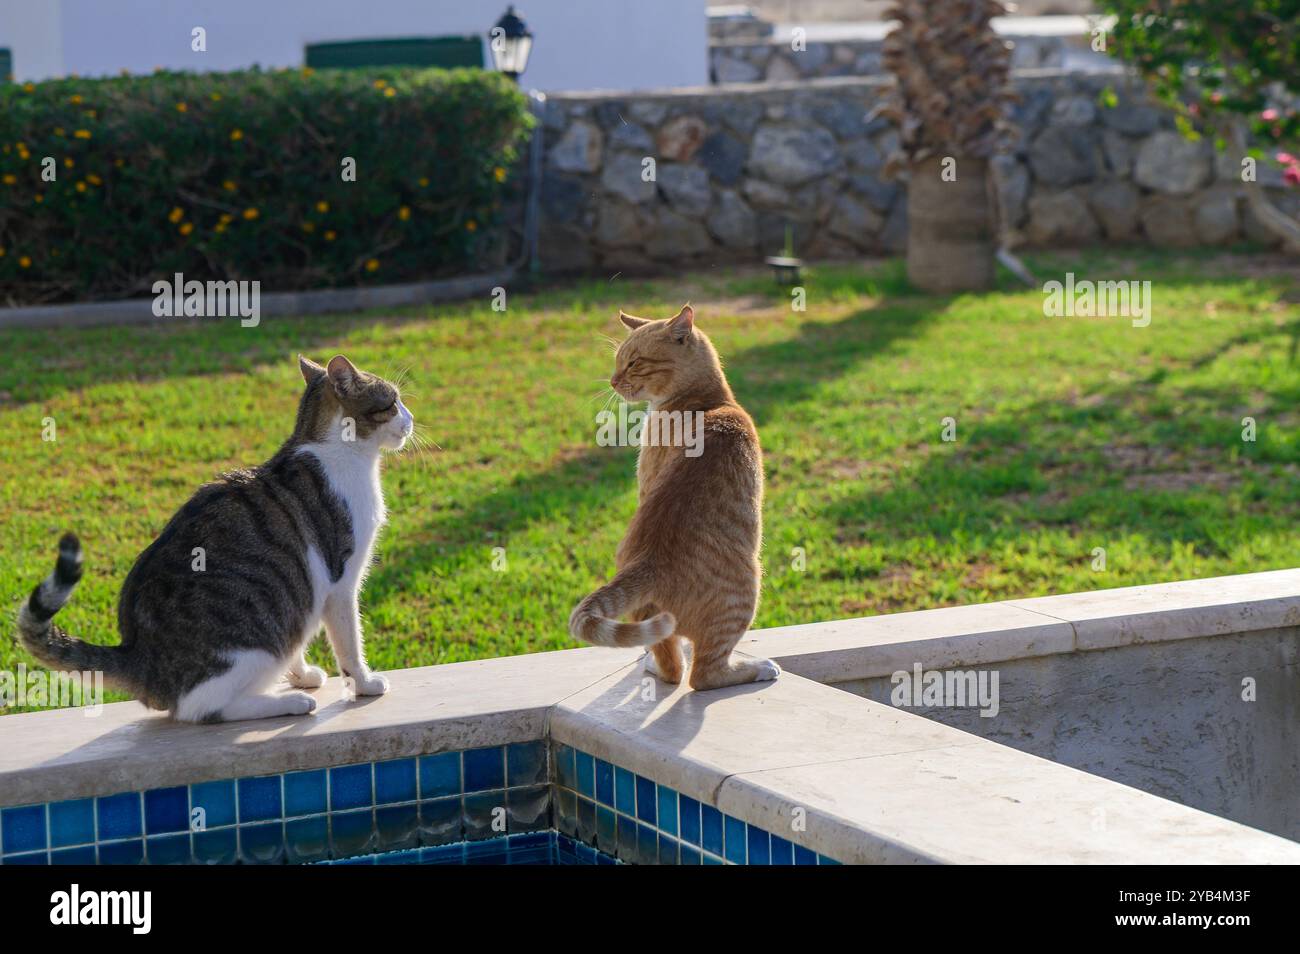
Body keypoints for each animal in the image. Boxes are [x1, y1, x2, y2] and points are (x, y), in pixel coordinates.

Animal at [20, 356, 410, 722]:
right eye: (392, 402)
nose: (410, 419)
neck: (333, 450)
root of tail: (138, 654)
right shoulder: (341, 583)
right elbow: (349, 644)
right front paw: (363, 683)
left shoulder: (302, 598)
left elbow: (296, 641)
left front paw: (301, 675)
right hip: (250, 649)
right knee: (201, 708)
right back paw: (287, 703)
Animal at [569, 310, 780, 691]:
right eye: (618, 361)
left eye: (633, 362)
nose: (612, 381)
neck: (709, 402)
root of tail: (648, 561)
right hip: (748, 587)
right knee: (699, 674)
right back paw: (758, 668)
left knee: (676, 668)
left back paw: (655, 664)